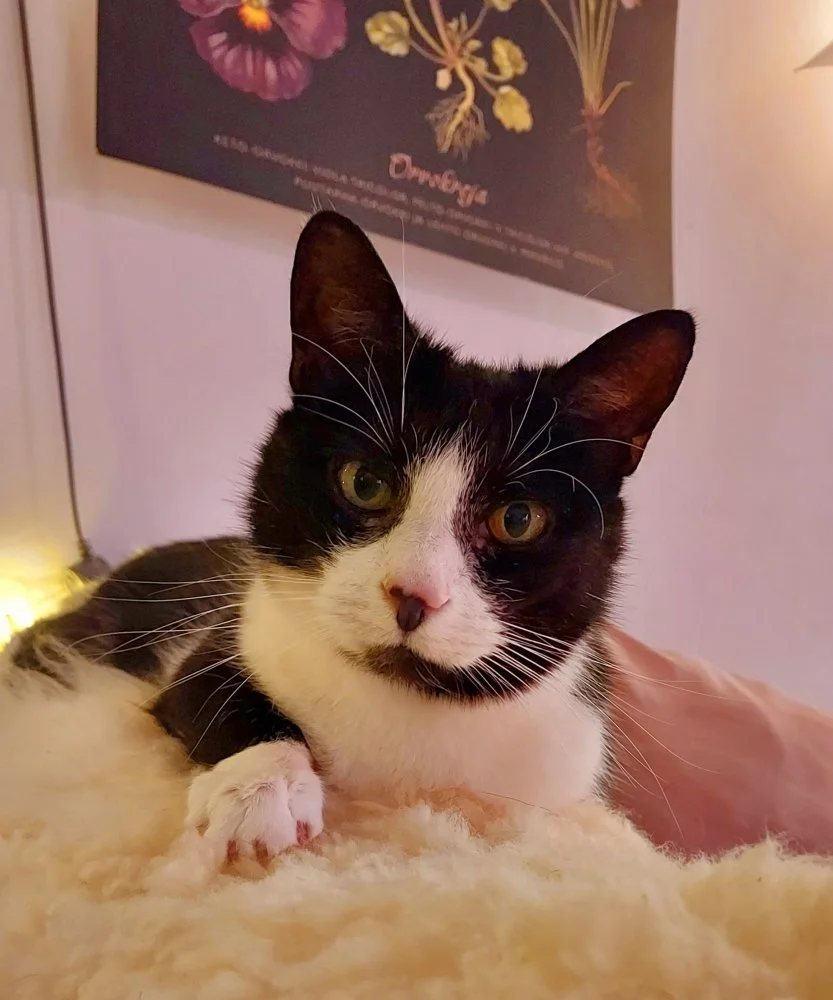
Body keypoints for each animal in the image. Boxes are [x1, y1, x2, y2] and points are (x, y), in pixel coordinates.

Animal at [7, 210, 695, 866]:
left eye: (518, 519)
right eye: (365, 482)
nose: (413, 595)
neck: (411, 704)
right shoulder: (214, 639)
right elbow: (210, 691)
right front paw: (262, 789)